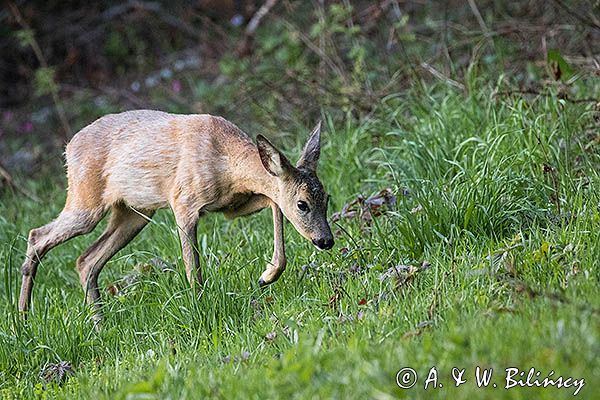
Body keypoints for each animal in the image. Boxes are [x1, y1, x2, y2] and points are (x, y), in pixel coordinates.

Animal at [18, 109, 336, 322]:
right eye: (302, 204)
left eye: (327, 198)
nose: (326, 240)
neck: (226, 163)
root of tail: (68, 148)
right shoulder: (184, 202)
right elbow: (192, 266)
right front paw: (200, 308)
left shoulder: (234, 206)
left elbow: (274, 202)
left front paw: (267, 276)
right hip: (86, 200)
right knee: (37, 235)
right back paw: (23, 319)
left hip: (134, 213)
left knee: (86, 259)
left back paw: (99, 322)